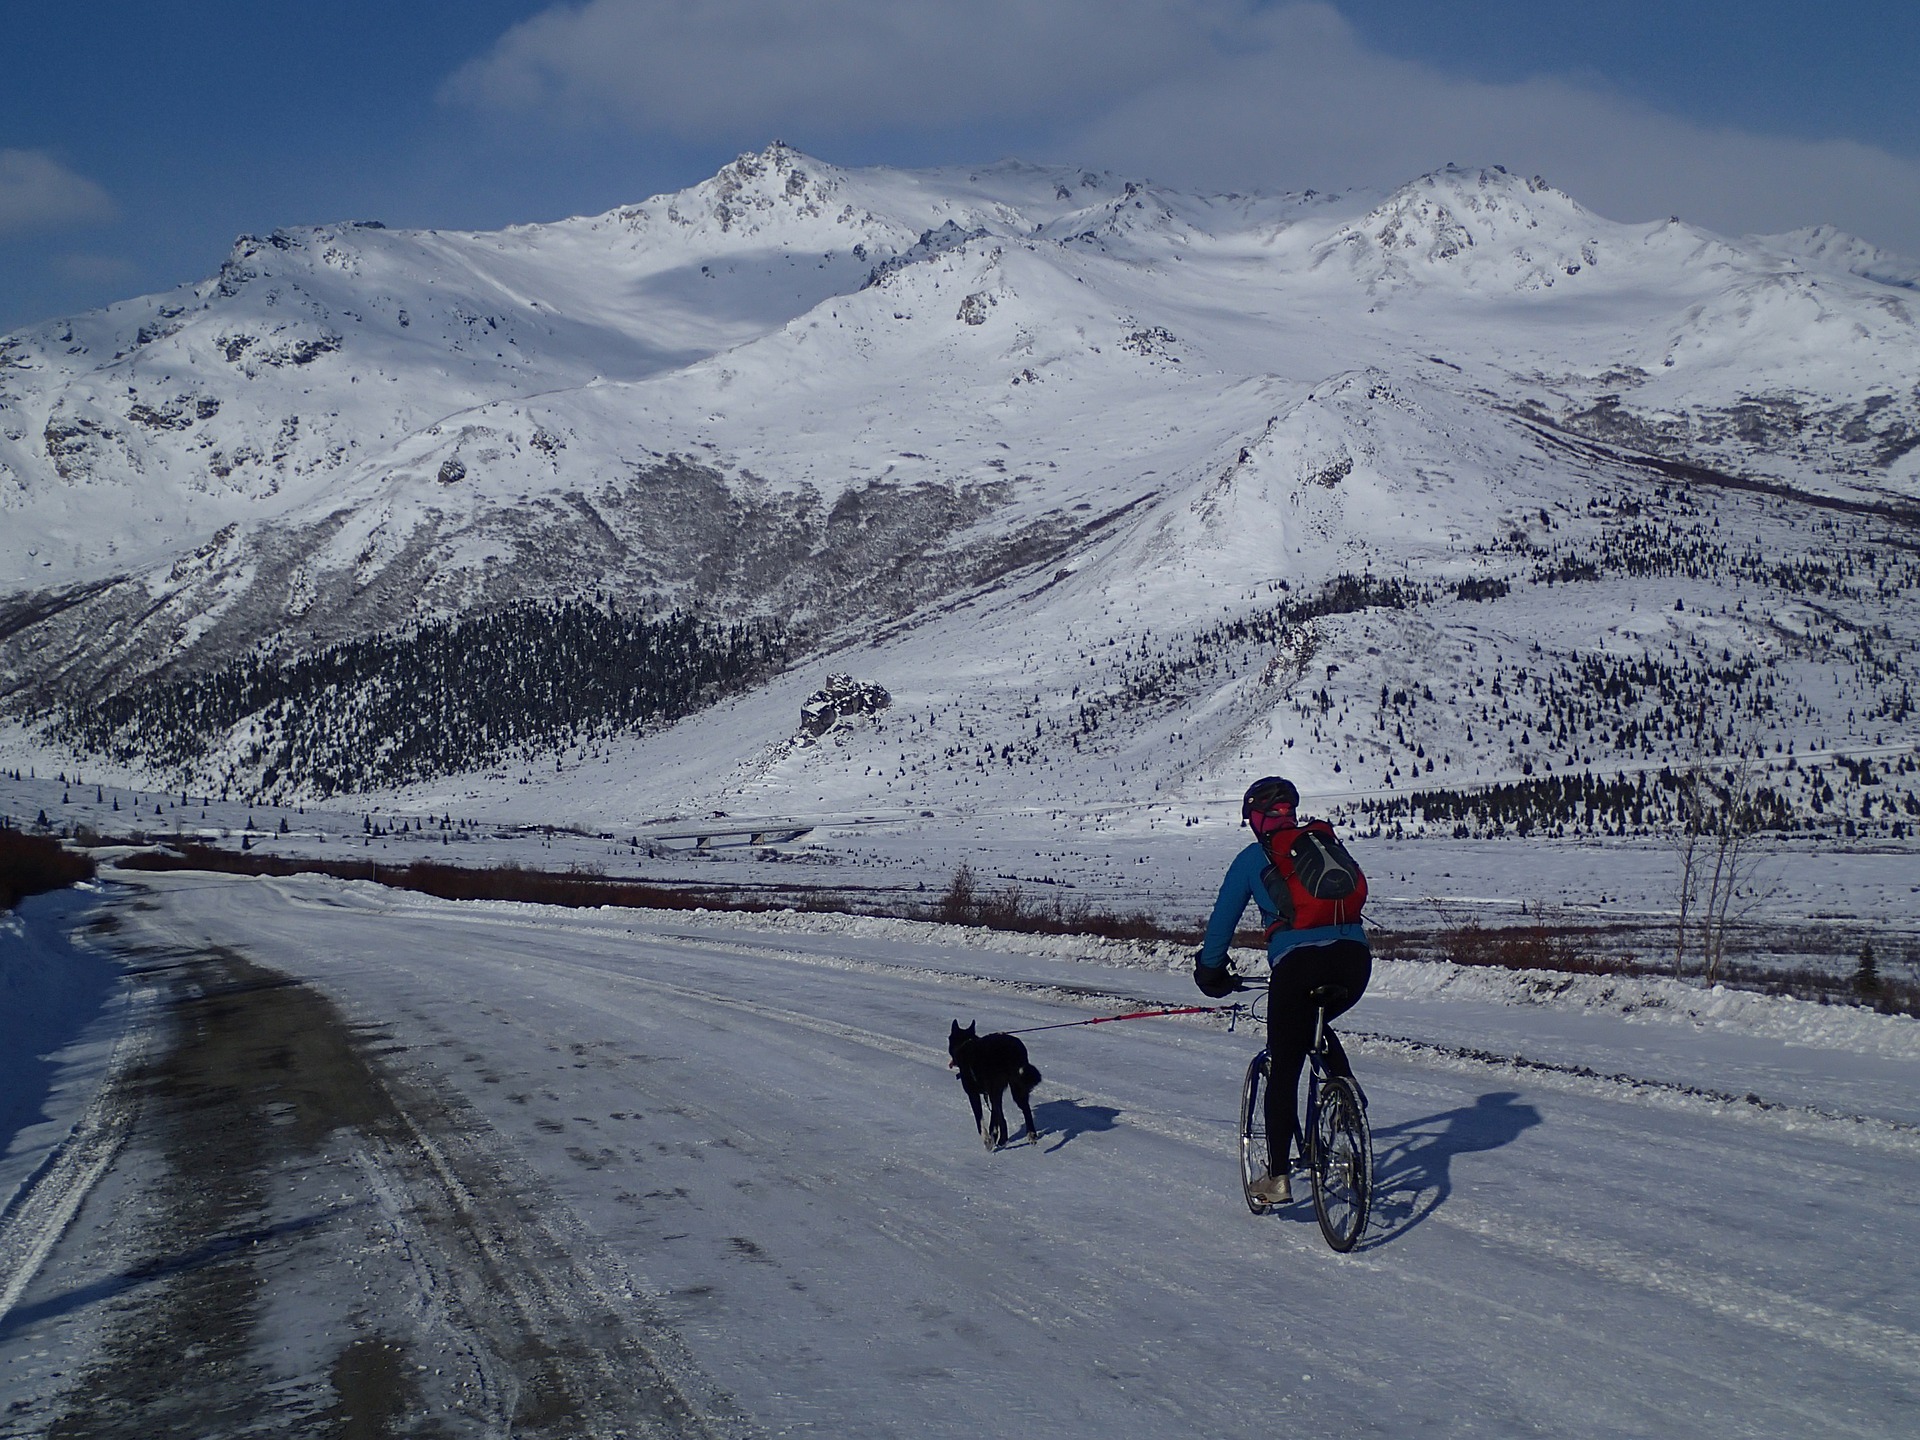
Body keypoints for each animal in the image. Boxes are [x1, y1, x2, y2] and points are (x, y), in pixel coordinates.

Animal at [940, 1021, 1036, 1159]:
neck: (965, 1044)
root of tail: (1013, 1048)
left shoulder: (974, 1094)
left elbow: (980, 1121)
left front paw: (988, 1140)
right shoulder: (995, 1092)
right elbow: (994, 1118)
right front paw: (993, 1136)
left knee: (1004, 1119)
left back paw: (1003, 1139)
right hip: (1016, 1086)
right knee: (1025, 1109)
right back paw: (1031, 1135)